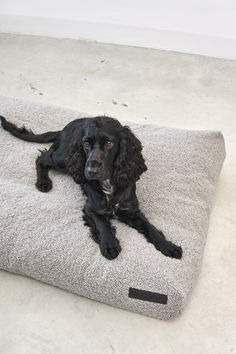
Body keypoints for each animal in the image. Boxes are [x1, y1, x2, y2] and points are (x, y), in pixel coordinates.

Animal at [0, 116, 183, 260]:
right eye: (86, 144)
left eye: (109, 143)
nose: (90, 171)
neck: (108, 183)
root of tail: (63, 129)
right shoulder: (91, 208)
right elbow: (102, 224)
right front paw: (109, 245)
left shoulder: (131, 209)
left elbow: (149, 227)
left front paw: (168, 245)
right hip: (63, 159)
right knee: (42, 158)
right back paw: (43, 182)